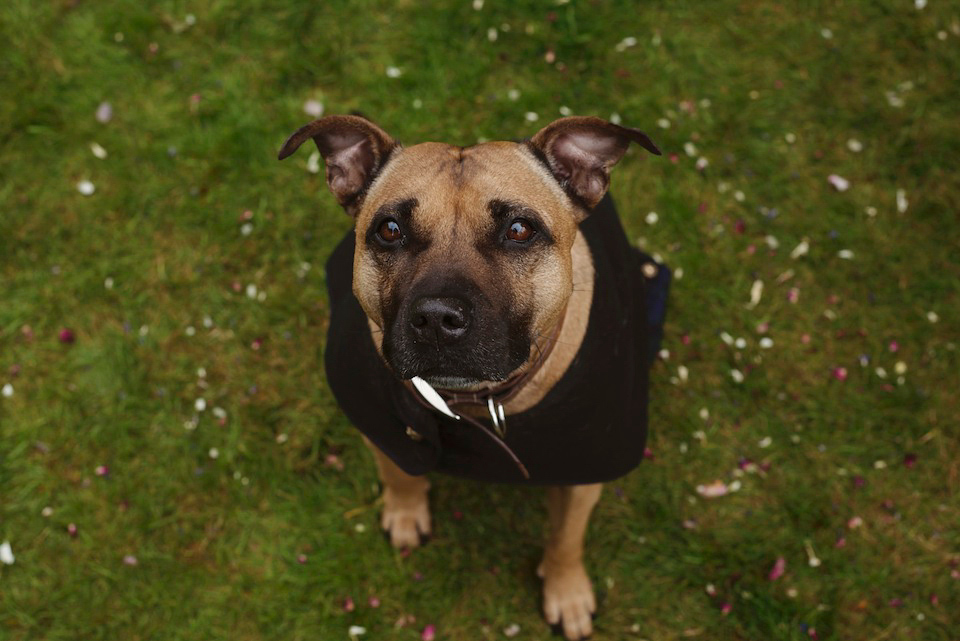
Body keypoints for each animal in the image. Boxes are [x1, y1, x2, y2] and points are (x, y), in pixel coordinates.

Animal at [278, 112, 668, 636]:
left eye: (520, 230)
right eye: (389, 230)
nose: (437, 318)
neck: (473, 403)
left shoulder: (587, 473)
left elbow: (567, 536)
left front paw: (566, 590)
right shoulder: (379, 426)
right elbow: (399, 472)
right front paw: (405, 511)